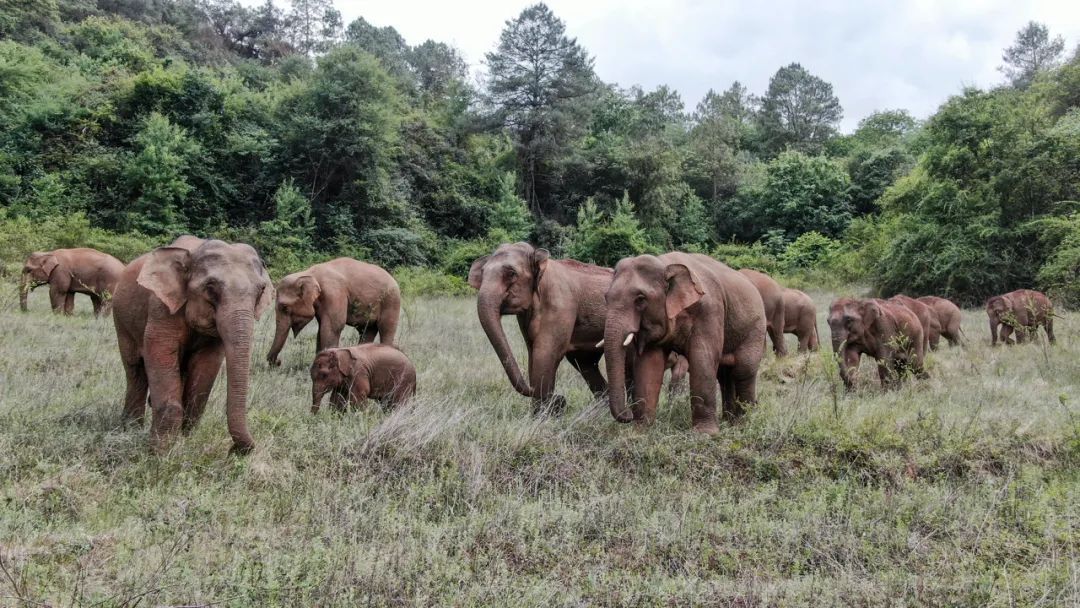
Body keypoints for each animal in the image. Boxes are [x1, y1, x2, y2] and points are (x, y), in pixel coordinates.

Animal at [112, 235, 274, 453]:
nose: (234, 450)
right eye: (211, 287)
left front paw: (185, 440)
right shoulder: (161, 306)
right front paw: (160, 452)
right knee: (135, 371)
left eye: (261, 290)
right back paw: (130, 428)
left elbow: (206, 367)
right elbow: (159, 351)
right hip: (121, 322)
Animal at [265, 257, 401, 367]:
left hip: (392, 301)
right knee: (367, 331)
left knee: (386, 330)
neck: (310, 273)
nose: (278, 362)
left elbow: (332, 327)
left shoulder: (334, 293)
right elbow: (321, 329)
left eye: (285, 307)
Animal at [468, 241, 630, 414]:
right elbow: (533, 353)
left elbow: (545, 353)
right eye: (483, 273)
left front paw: (544, 414)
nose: (561, 400)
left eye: (511, 273)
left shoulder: (561, 304)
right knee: (585, 362)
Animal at [600, 254, 768, 436]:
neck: (666, 264)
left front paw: (705, 434)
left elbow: (702, 360)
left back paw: (743, 424)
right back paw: (729, 422)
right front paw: (640, 431)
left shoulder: (709, 311)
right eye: (606, 298)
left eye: (640, 299)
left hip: (755, 328)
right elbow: (650, 365)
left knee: (743, 369)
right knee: (725, 375)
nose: (628, 415)